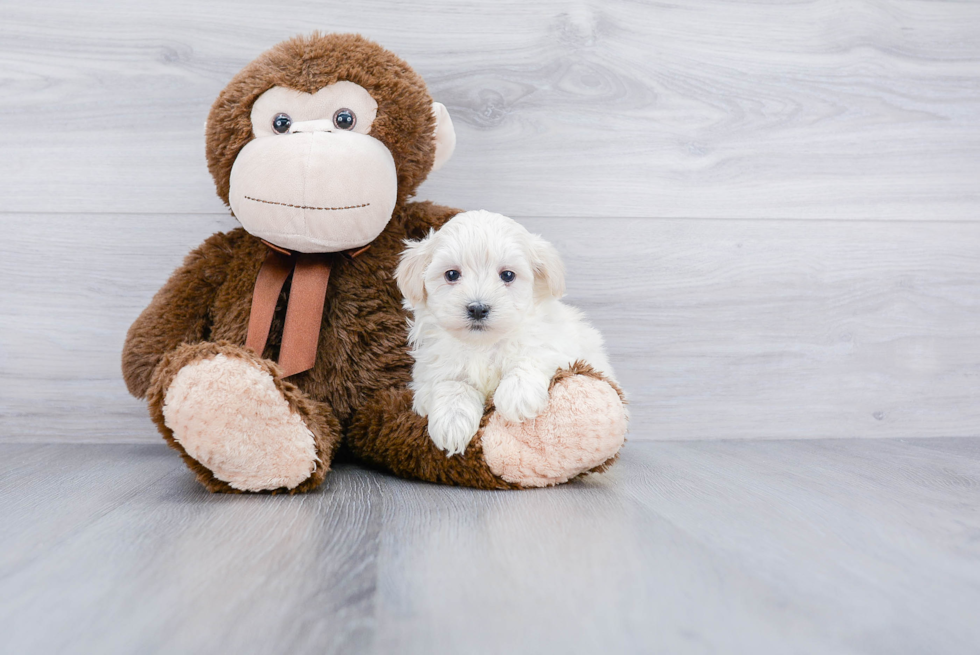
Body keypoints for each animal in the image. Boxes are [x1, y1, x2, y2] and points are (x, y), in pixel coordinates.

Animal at [396, 210, 612, 456]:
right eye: (451, 274)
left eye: (507, 275)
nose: (478, 308)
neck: (483, 344)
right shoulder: (431, 372)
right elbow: (453, 384)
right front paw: (452, 423)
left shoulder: (558, 346)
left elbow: (533, 356)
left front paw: (518, 395)